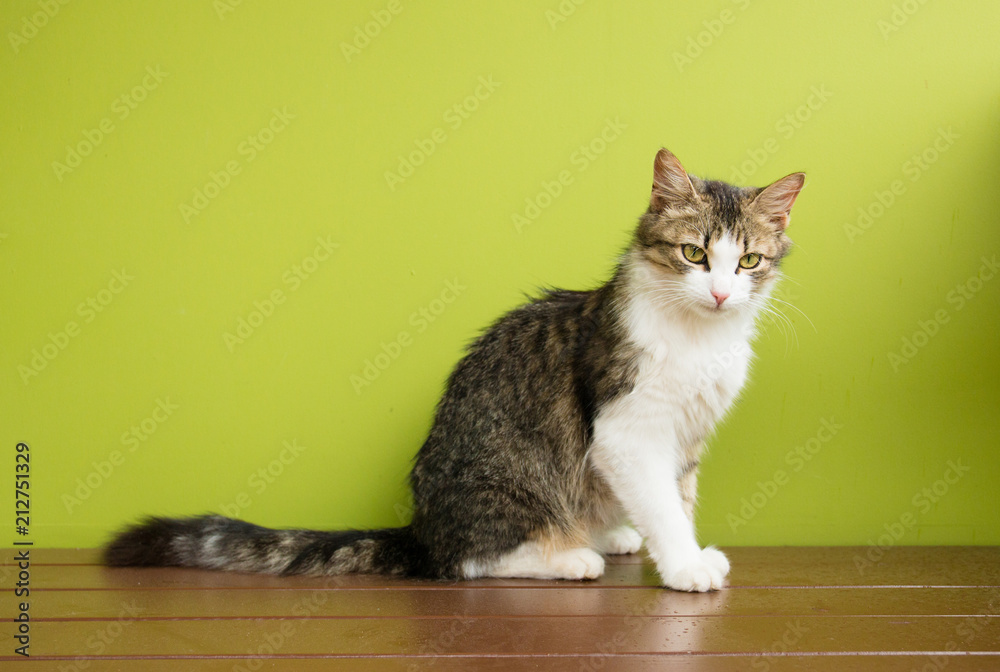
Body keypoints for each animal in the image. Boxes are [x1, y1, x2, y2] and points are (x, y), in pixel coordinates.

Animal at [103, 148, 804, 592]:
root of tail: (421, 528)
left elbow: (677, 500)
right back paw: (569, 557)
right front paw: (685, 567)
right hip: (507, 490)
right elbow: (661, 503)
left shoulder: (686, 438)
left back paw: (609, 536)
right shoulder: (628, 432)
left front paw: (676, 552)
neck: (699, 337)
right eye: (693, 254)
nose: (720, 293)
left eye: (747, 262)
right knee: (467, 562)